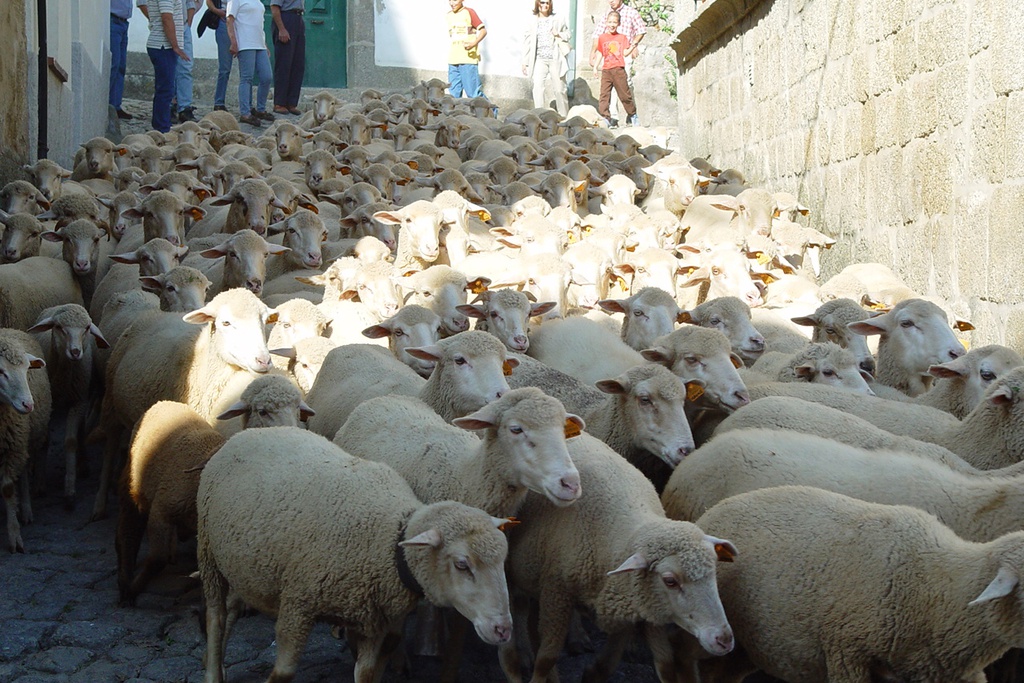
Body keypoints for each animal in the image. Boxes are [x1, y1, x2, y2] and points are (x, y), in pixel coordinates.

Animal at [198, 428, 516, 683]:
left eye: (502, 561)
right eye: (462, 564)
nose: (503, 630)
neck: (390, 538)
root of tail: (247, 433)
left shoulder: (372, 622)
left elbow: (365, 673)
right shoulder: (298, 603)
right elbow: (283, 672)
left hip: (244, 562)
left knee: (232, 606)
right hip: (208, 552)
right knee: (215, 615)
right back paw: (213, 671)